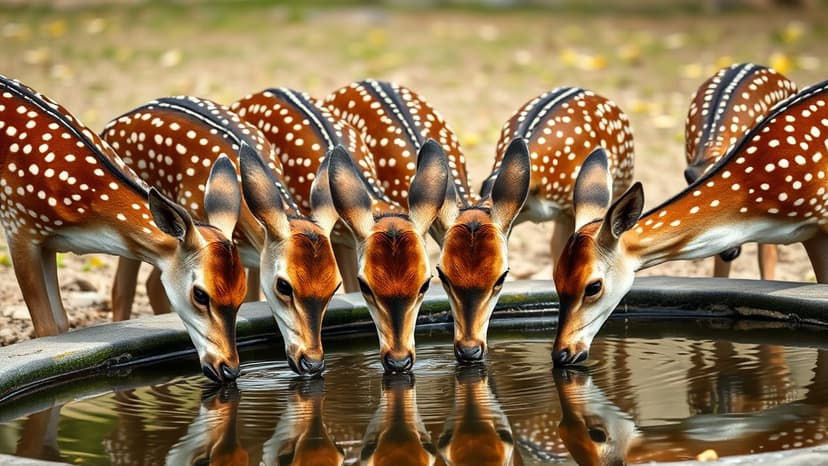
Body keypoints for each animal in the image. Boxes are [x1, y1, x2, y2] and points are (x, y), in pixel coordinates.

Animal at [0, 76, 246, 383]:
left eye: (243, 294)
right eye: (200, 294)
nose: (229, 368)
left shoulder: (47, 241)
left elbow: (60, 322)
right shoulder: (18, 225)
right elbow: (46, 327)